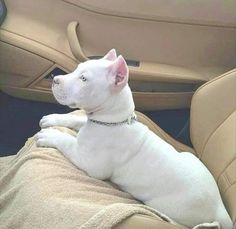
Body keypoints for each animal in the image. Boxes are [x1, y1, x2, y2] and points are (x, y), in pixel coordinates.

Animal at [36, 49, 233, 228]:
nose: (55, 79)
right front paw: (53, 119)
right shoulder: (89, 123)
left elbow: (68, 142)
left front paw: (51, 134)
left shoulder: (90, 163)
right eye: (77, 70)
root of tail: (220, 208)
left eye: (83, 79)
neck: (115, 121)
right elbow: (76, 119)